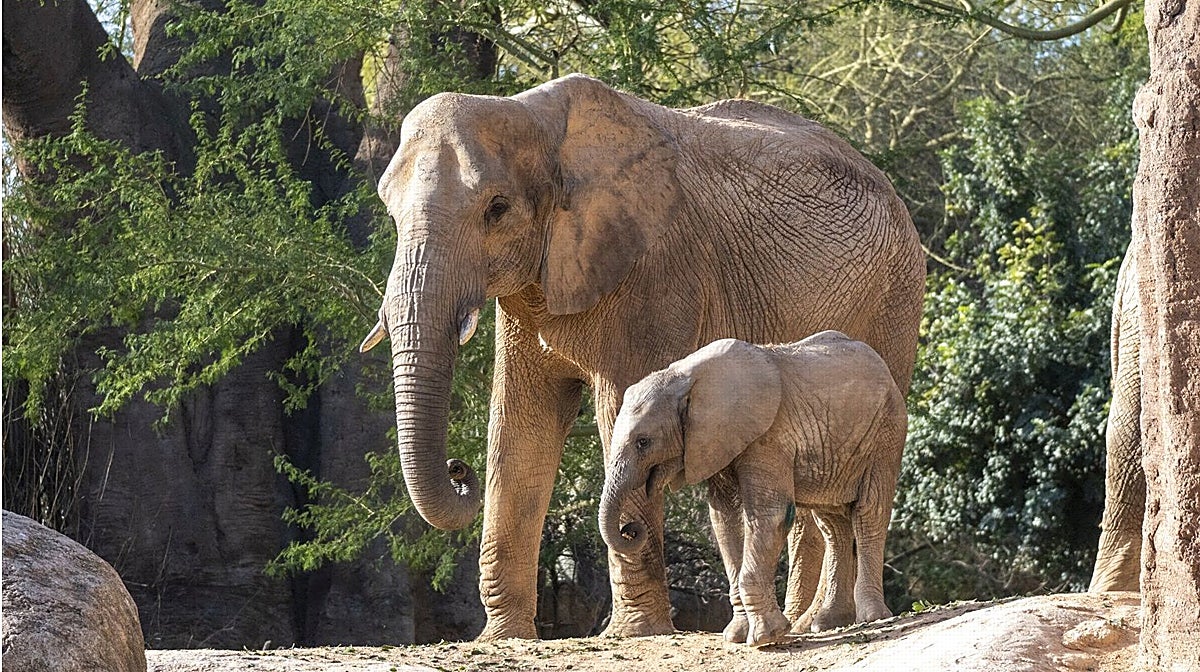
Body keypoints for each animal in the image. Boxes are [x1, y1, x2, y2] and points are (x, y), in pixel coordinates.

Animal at [599, 333, 906, 646]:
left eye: (643, 442)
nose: (630, 530)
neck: (683, 378)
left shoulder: (769, 436)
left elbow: (770, 515)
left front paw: (766, 637)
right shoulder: (717, 439)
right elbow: (724, 520)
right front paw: (737, 636)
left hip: (886, 431)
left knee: (869, 512)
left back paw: (872, 617)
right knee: (832, 523)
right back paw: (827, 623)